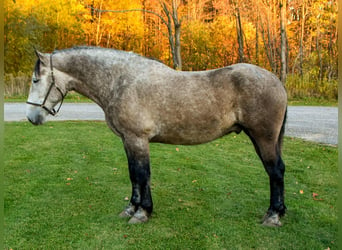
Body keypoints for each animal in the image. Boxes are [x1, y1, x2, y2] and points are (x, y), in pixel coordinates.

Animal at [26, 46, 288, 227]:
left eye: (36, 79)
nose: (31, 117)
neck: (120, 81)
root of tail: (277, 82)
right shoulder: (128, 140)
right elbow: (134, 175)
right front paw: (131, 208)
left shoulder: (137, 139)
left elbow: (142, 174)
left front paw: (142, 213)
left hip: (263, 138)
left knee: (275, 171)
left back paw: (273, 216)